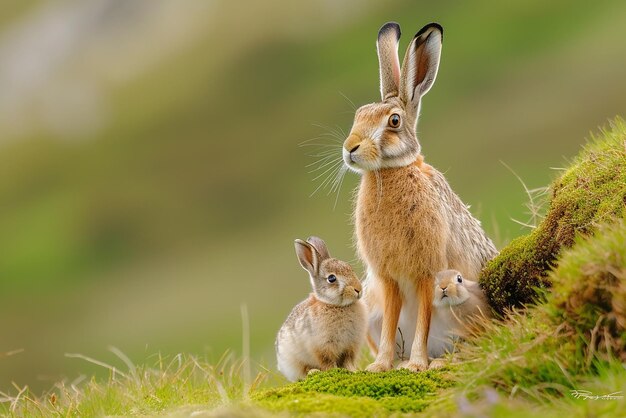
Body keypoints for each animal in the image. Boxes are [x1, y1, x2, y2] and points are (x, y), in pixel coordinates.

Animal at [274, 237, 366, 380]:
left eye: (350, 269)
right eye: (331, 278)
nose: (358, 290)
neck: (335, 305)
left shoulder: (351, 346)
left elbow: (348, 361)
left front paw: (354, 371)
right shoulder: (322, 346)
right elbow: (327, 362)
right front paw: (333, 372)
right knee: (303, 371)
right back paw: (313, 372)